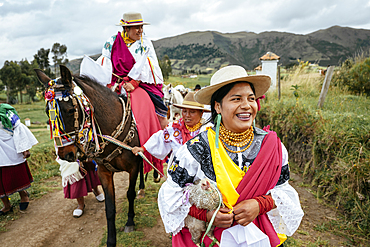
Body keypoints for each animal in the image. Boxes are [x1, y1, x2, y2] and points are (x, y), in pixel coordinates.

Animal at [35, 64, 145, 246]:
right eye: (46, 112)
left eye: (70, 110)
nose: (65, 155)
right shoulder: (104, 172)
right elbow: (109, 208)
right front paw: (111, 240)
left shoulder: (133, 167)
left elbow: (129, 193)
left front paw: (130, 222)